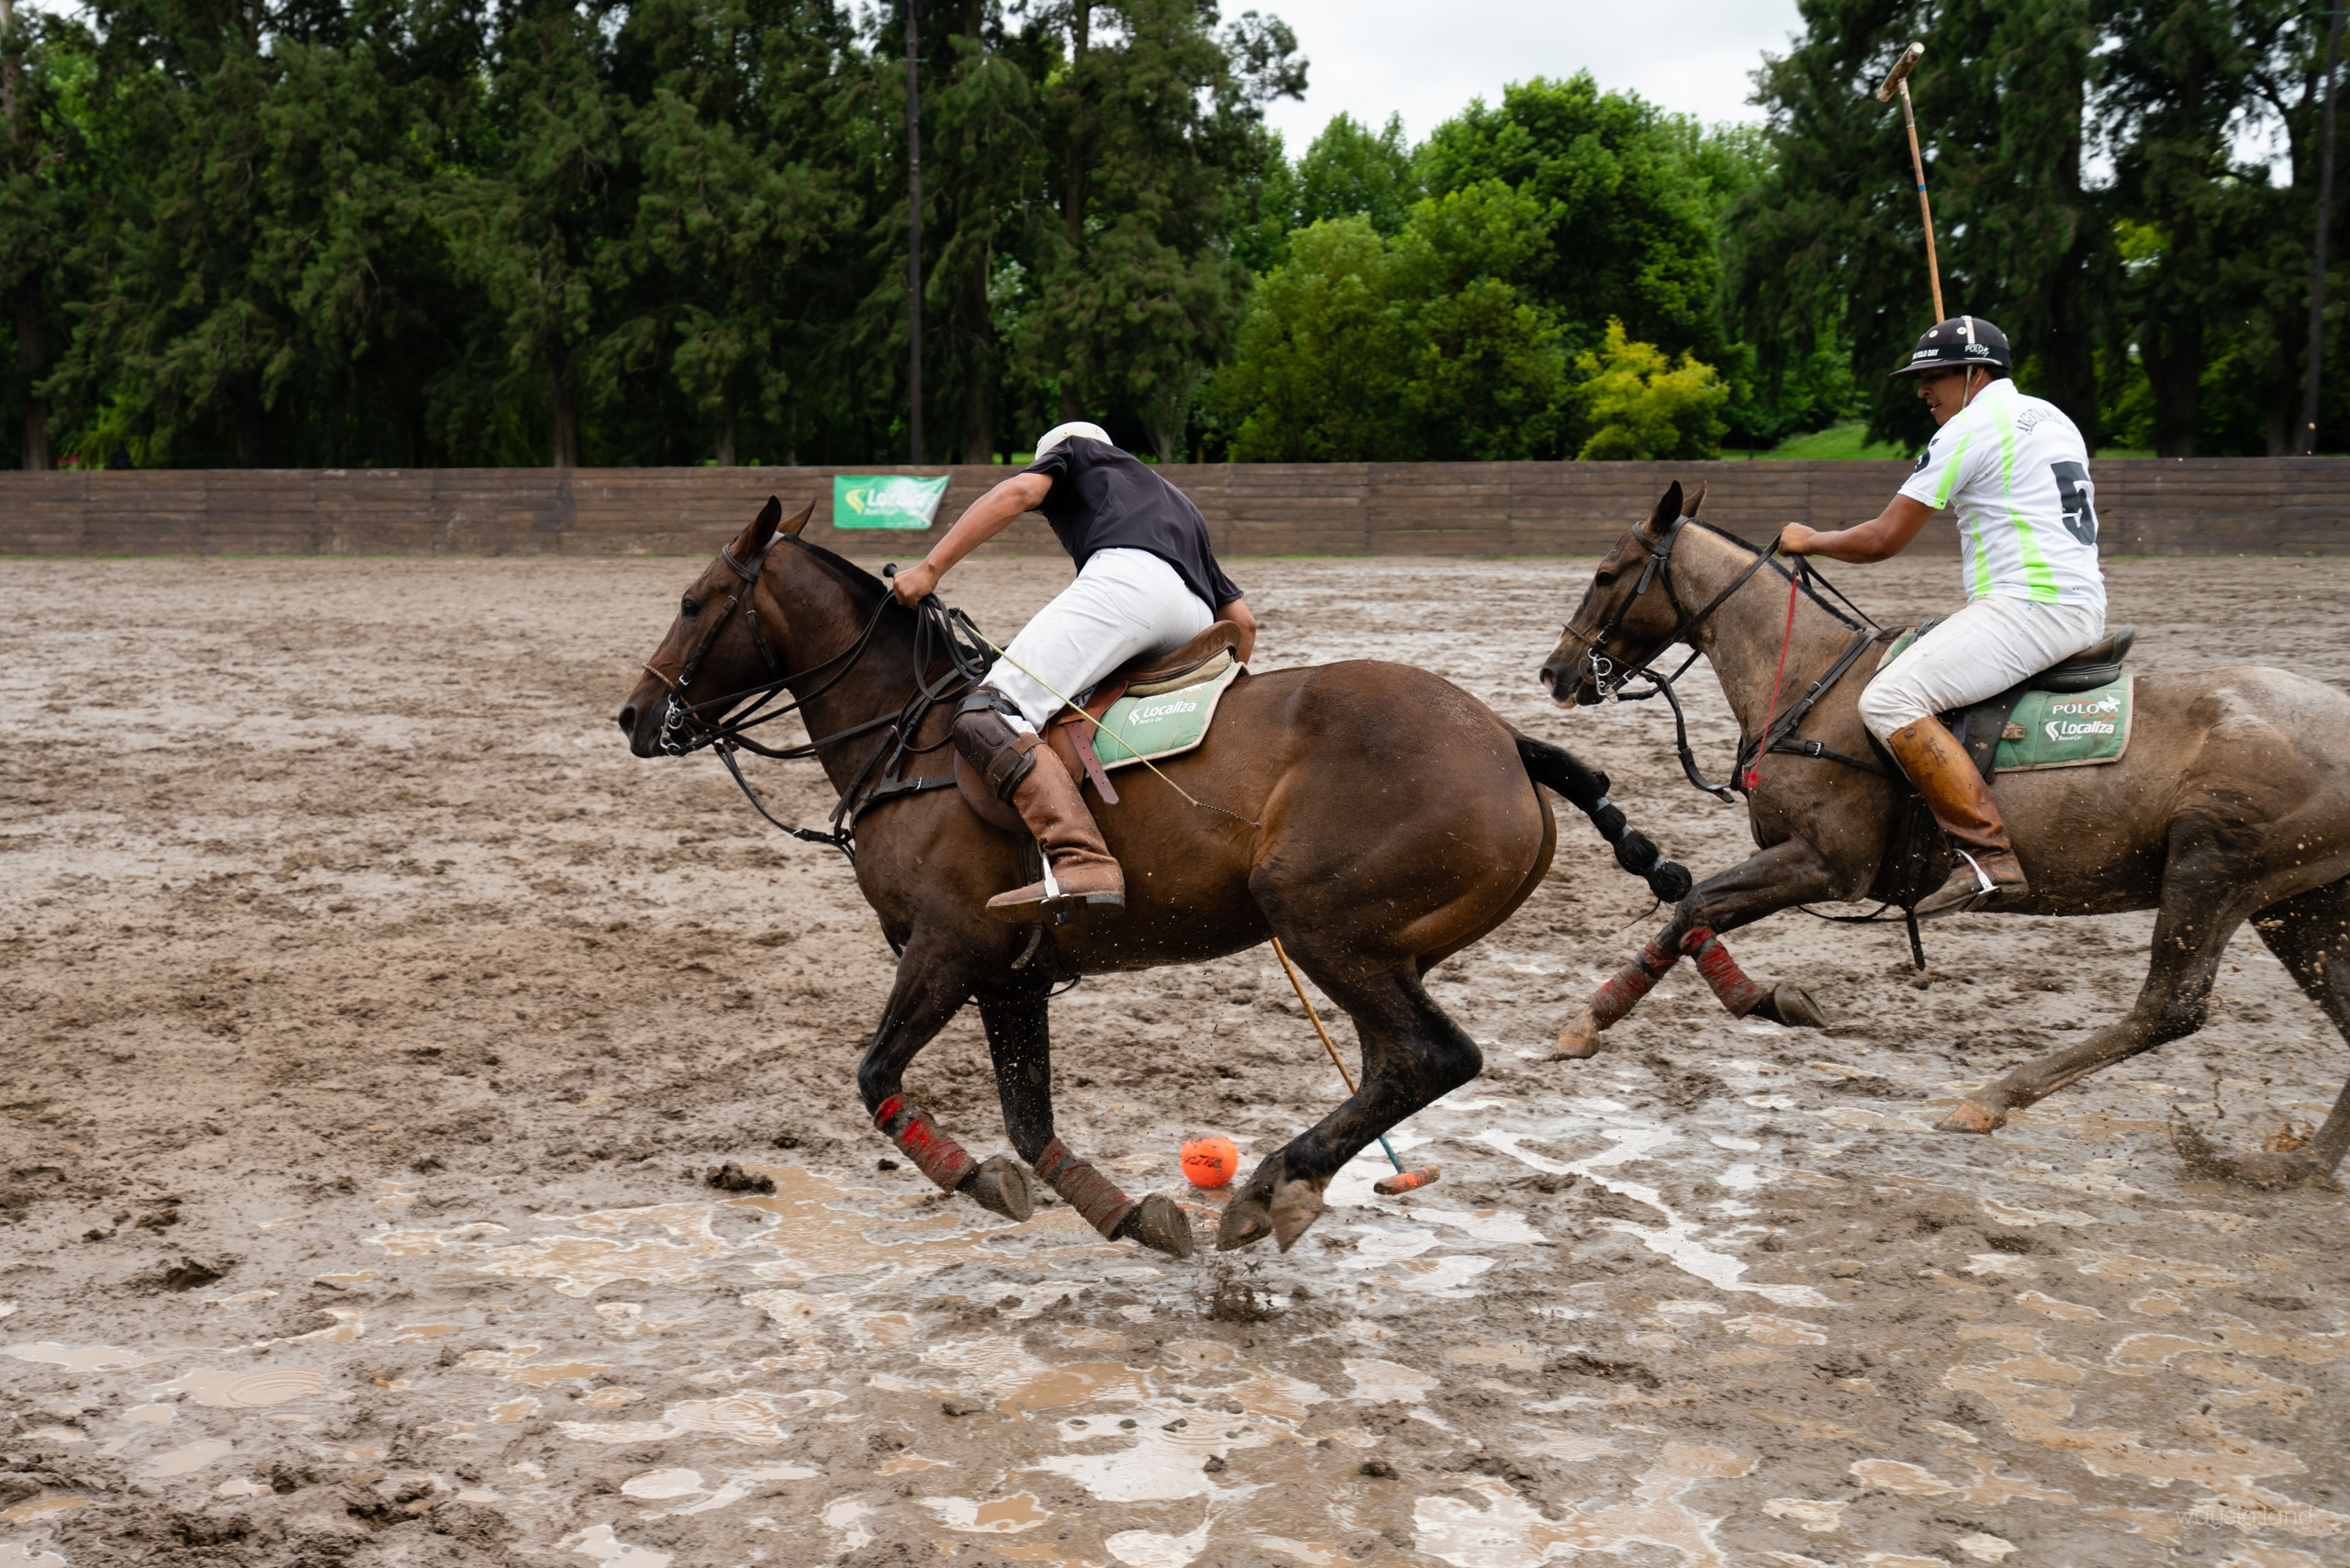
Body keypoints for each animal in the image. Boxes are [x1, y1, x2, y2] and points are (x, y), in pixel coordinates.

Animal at [620, 496, 1692, 1260]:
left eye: (690, 602)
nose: (634, 717)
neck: (908, 737)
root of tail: (1507, 742)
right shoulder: (1011, 973)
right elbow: (1031, 1121)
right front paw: (1132, 1215)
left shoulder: (948, 944)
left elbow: (877, 1074)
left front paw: (973, 1181)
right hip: (1386, 946)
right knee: (1394, 1064)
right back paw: (1284, 1187)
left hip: (1316, 917)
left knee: (1436, 1056)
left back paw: (1264, 1185)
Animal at [1532, 484, 2350, 1184]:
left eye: (1607, 574)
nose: (1555, 671)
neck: (1809, 679)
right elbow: (1691, 912)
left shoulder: (1829, 863)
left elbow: (1693, 905)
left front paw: (1607, 1020)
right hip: (2301, 904)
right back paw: (2298, 1165)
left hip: (2212, 872)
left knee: (2167, 1008)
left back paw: (1990, 1098)